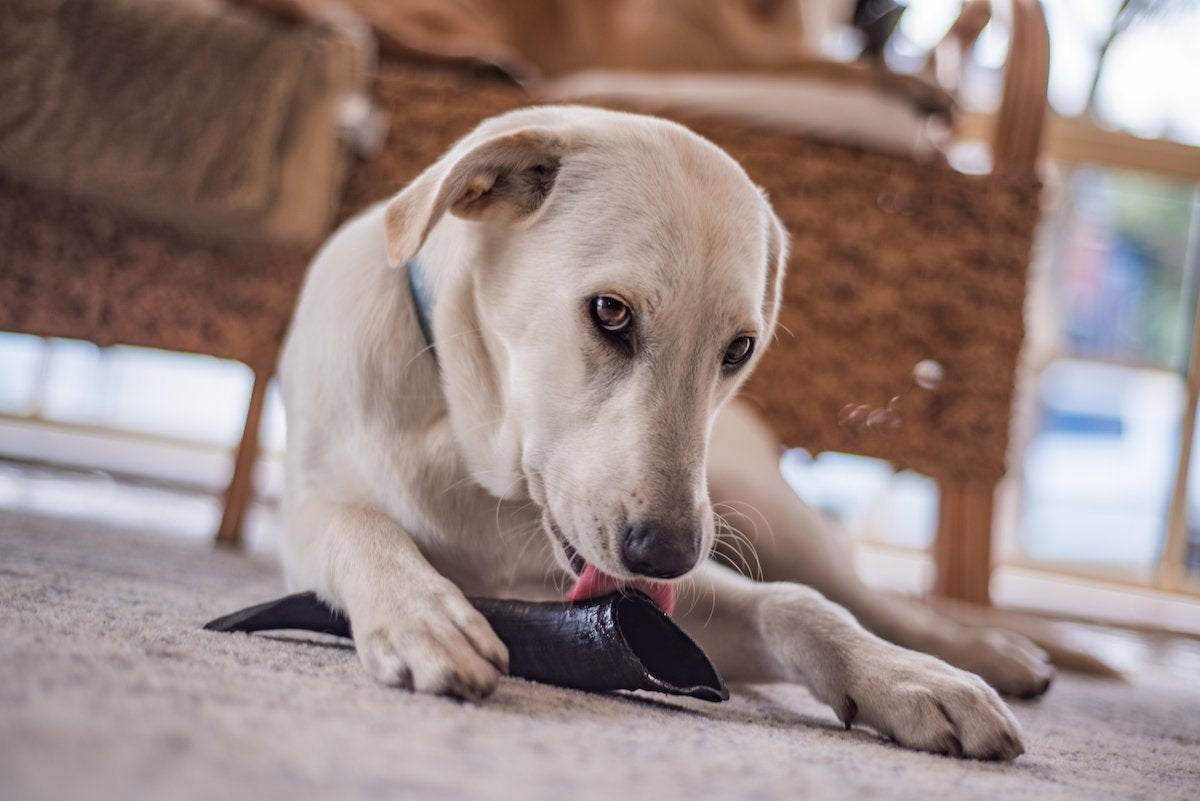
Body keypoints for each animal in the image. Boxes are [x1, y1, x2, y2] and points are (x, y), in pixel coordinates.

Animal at [276, 103, 1046, 762]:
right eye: (610, 312)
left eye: (739, 348)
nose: (667, 555)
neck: (470, 451)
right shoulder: (312, 507)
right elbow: (355, 522)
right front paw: (424, 614)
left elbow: (797, 603)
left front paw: (909, 678)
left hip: (770, 512)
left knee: (864, 593)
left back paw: (990, 651)